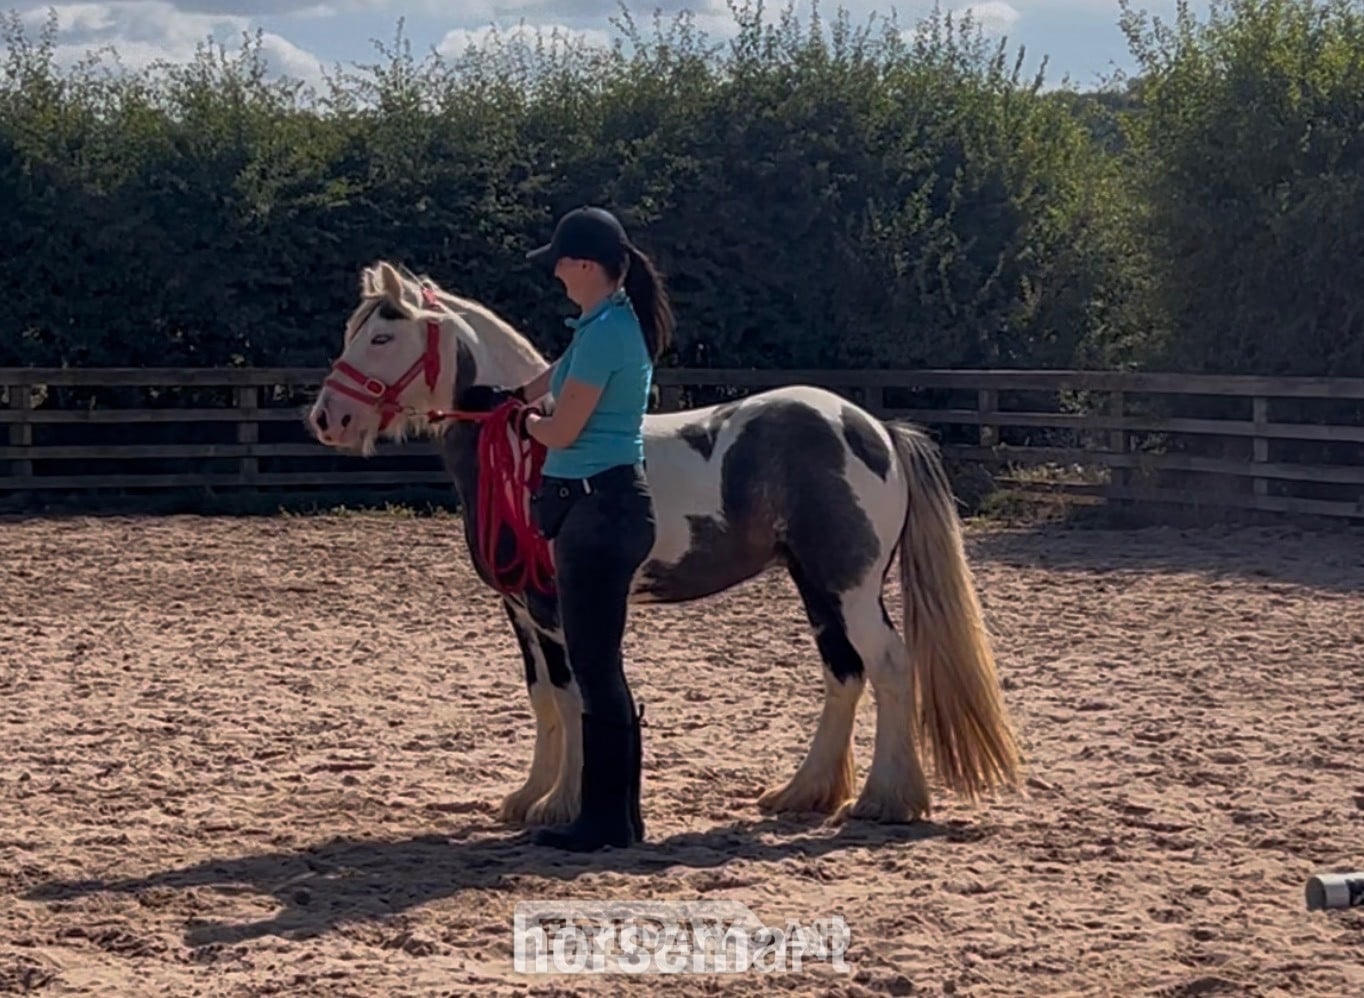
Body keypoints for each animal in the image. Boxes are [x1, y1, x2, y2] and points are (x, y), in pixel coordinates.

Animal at [305, 259, 1023, 828]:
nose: (326, 419)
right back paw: (805, 792)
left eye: (382, 335)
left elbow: (573, 695)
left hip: (849, 585)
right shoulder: (519, 609)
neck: (526, 447)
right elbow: (543, 697)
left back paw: (886, 800)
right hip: (816, 583)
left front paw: (560, 806)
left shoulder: (555, 604)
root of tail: (875, 427)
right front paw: (530, 796)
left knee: (890, 666)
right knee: (843, 673)